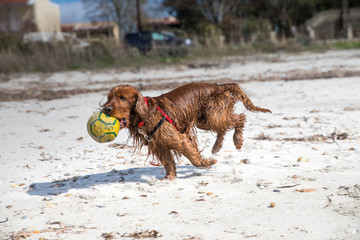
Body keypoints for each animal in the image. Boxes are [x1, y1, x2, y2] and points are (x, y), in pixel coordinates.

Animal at [101, 82, 270, 178]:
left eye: (122, 98)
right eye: (109, 97)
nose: (106, 109)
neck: (146, 115)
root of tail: (221, 85)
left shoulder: (178, 139)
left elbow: (194, 159)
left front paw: (207, 162)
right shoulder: (160, 145)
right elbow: (168, 162)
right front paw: (169, 178)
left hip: (213, 115)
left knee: (239, 118)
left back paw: (237, 141)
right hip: (205, 119)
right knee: (224, 128)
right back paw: (216, 147)